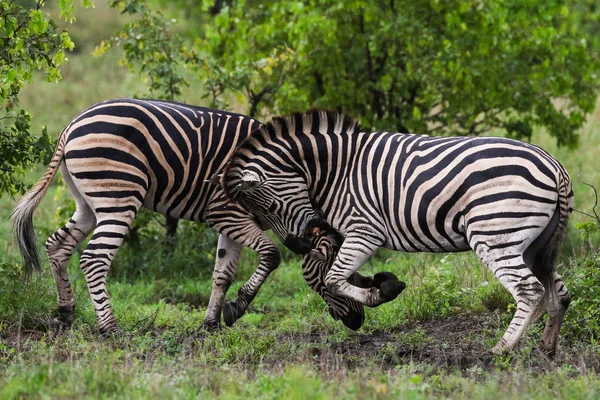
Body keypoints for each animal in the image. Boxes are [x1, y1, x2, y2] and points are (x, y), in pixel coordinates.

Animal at [11, 100, 358, 334]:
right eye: (349, 276)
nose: (358, 322)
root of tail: (72, 124)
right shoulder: (226, 211)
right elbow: (271, 255)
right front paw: (238, 307)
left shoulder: (229, 221)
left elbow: (222, 273)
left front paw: (213, 323)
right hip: (118, 195)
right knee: (94, 259)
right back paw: (110, 328)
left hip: (88, 202)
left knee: (57, 246)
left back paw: (66, 313)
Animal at [218, 108, 576, 354]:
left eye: (269, 208)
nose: (298, 245)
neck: (334, 171)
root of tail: (555, 167)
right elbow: (343, 275)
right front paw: (383, 284)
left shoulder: (364, 229)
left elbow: (336, 277)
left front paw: (380, 292)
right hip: (534, 245)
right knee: (558, 292)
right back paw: (547, 349)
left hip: (496, 235)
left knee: (529, 290)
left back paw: (501, 349)